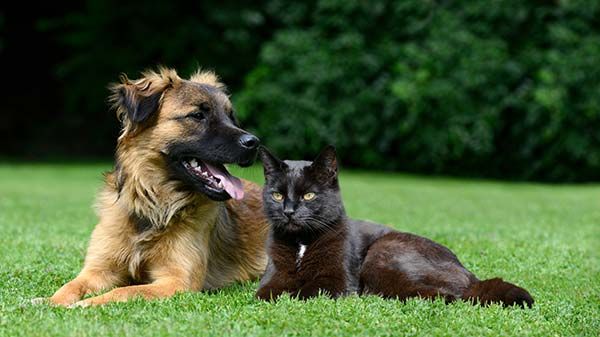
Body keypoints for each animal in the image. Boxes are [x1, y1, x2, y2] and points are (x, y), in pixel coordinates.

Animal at [39, 67, 270, 306]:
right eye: (198, 115)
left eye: (230, 116)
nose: (254, 143)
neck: (154, 205)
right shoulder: (98, 270)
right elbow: (70, 286)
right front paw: (48, 301)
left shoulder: (177, 281)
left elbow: (124, 291)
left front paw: (86, 304)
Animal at [255, 145, 532, 308]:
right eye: (277, 195)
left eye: (309, 196)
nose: (289, 212)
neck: (301, 243)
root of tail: (469, 273)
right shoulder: (273, 277)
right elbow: (267, 293)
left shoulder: (338, 281)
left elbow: (306, 291)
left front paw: (293, 295)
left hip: (385, 253)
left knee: (451, 295)